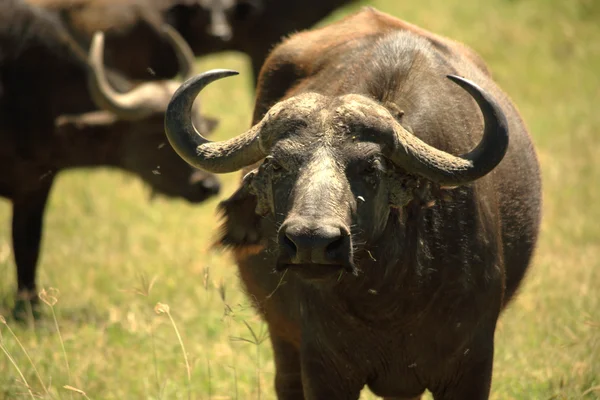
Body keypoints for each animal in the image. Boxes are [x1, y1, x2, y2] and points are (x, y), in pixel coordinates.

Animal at [0, 0, 220, 316]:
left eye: (201, 126)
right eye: (158, 134)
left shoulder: (36, 185)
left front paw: (29, 308)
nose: (208, 186)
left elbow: (28, 245)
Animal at [165, 6, 544, 400]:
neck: (391, 298)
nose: (311, 242)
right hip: (282, 341)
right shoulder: (324, 365)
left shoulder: (472, 363)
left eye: (370, 166)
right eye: (277, 164)